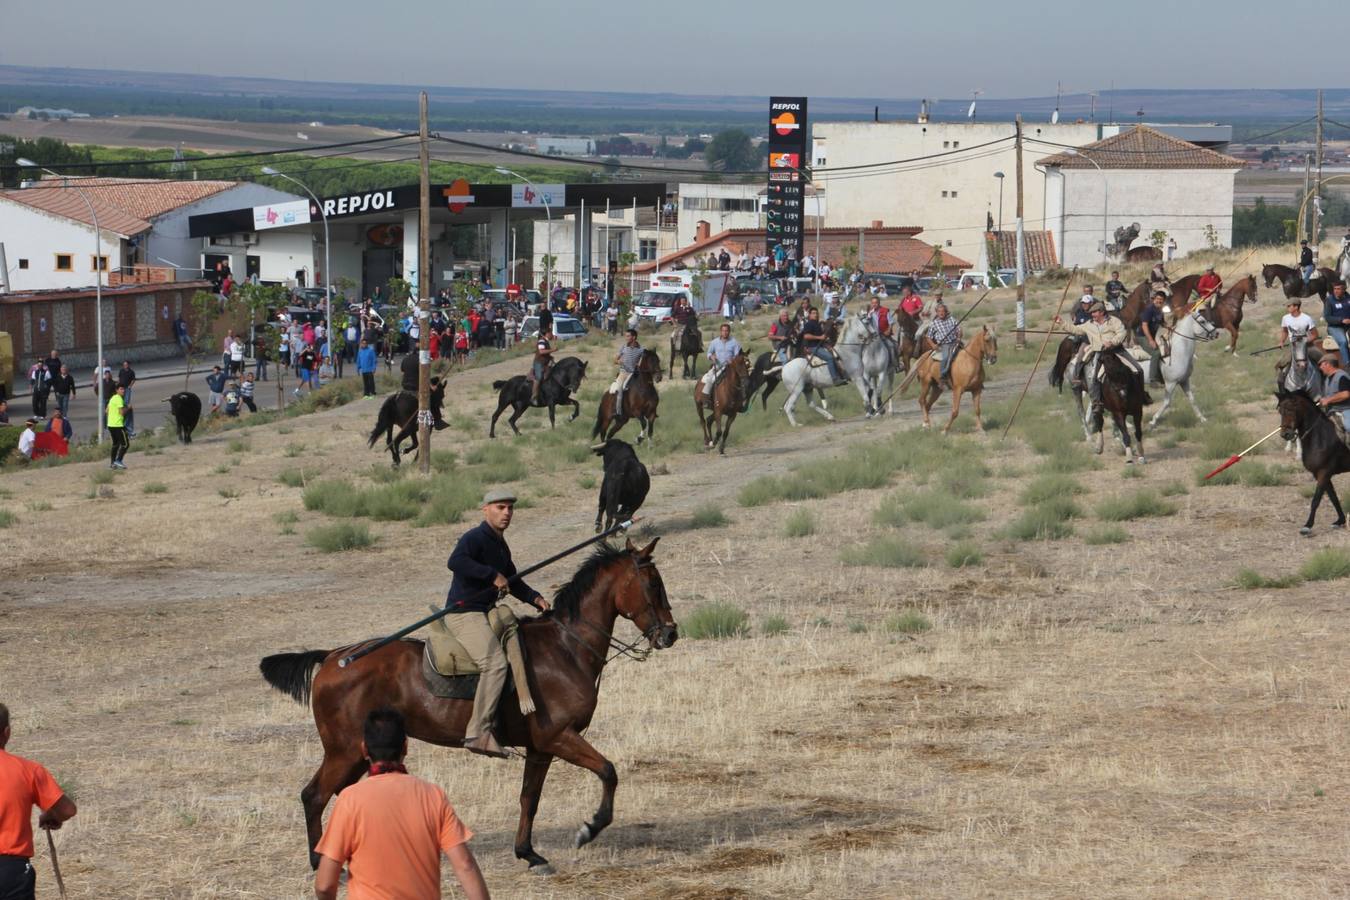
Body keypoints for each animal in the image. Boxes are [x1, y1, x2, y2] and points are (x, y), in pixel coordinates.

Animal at [257, 539, 680, 874]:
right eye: (653, 583)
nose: (671, 634)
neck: (564, 648)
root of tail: (333, 657)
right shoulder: (560, 737)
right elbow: (608, 771)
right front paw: (589, 829)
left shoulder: (540, 748)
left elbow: (529, 798)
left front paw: (529, 854)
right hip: (342, 752)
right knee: (314, 795)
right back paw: (319, 862)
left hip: (356, 754)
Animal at [1274, 388, 1350, 534]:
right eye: (1280, 410)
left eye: (1291, 409)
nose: (1285, 434)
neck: (1320, 436)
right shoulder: (1320, 474)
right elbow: (1333, 497)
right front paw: (1340, 521)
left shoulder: (1323, 472)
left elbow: (1316, 500)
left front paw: (1307, 526)